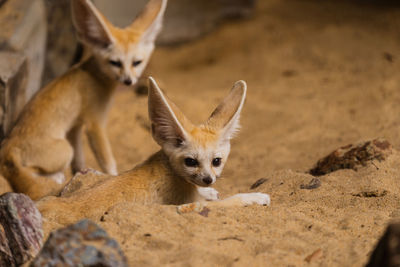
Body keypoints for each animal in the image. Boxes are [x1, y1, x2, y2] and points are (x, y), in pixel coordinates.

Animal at [0, 0, 168, 201]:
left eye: (137, 62)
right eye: (115, 63)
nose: (128, 81)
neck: (95, 75)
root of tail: (7, 148)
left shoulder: (76, 126)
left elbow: (79, 161)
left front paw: (82, 176)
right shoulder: (95, 123)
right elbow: (107, 160)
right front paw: (111, 177)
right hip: (64, 149)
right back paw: (55, 179)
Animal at [37, 78, 270, 225]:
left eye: (217, 161)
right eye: (190, 162)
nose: (208, 180)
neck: (168, 169)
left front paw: (210, 191)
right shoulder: (185, 205)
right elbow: (230, 201)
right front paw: (255, 197)